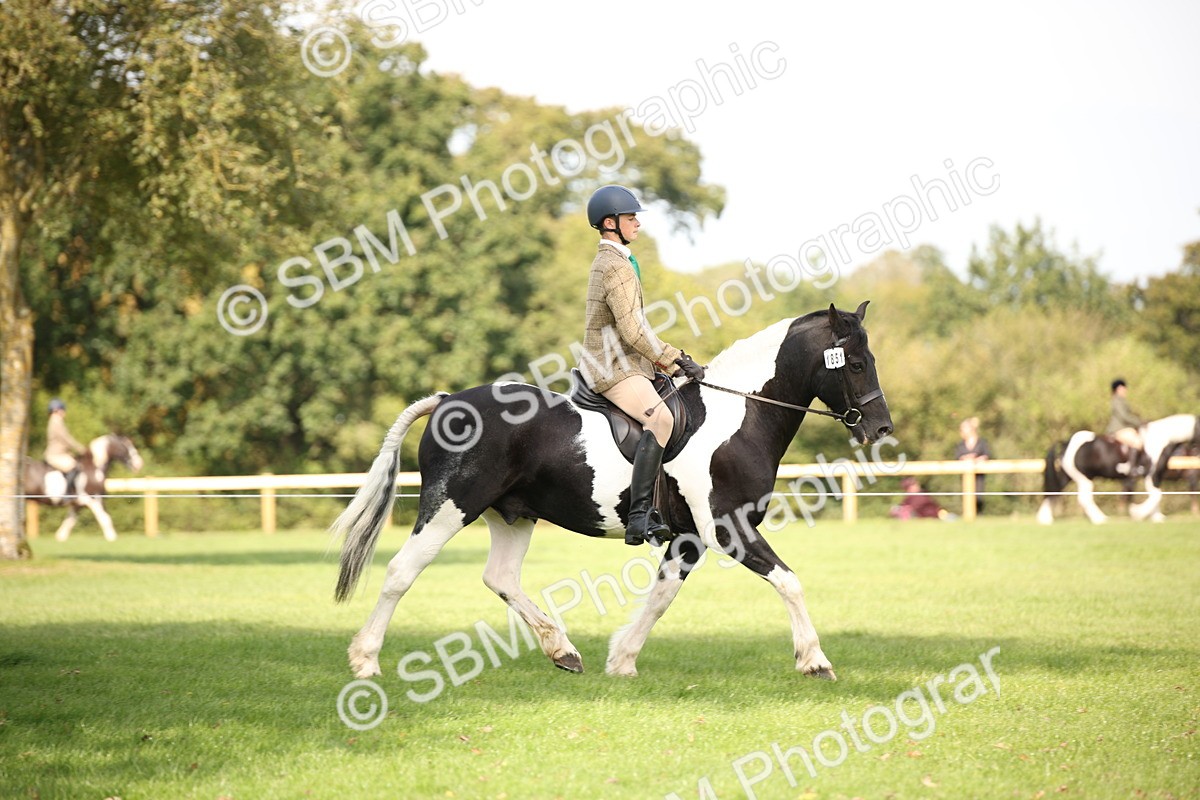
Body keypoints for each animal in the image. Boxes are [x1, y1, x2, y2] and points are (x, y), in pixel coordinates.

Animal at [332, 302, 894, 681]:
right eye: (856, 363)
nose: (881, 429)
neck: (739, 415)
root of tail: (449, 401)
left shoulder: (689, 538)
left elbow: (662, 597)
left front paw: (622, 659)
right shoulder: (727, 529)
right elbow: (789, 582)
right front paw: (815, 660)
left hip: (512, 516)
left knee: (501, 577)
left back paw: (563, 650)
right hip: (450, 507)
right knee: (402, 572)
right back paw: (365, 660)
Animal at [1036, 414, 1200, 524]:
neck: (1160, 440)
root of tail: (1067, 442)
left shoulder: (1157, 476)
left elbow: (1156, 496)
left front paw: (1156, 517)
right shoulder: (1151, 475)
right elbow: (1156, 496)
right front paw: (1137, 513)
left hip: (1069, 476)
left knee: (1054, 491)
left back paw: (1045, 519)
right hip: (1085, 478)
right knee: (1083, 498)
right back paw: (1100, 519)